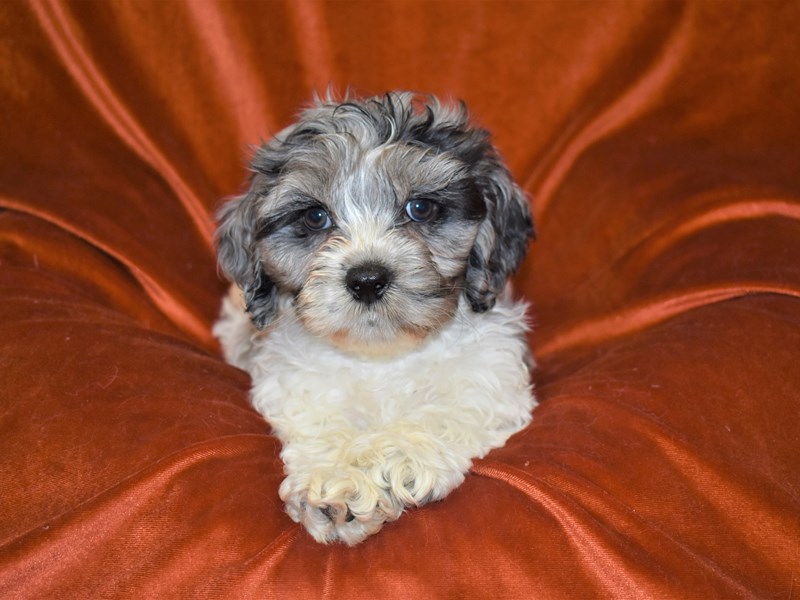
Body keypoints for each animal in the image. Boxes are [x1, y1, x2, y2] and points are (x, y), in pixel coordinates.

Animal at [212, 91, 536, 548]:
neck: (381, 355)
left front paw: (390, 460)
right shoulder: (297, 382)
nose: (367, 279)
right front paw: (337, 482)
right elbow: (321, 421)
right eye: (315, 217)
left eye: (420, 208)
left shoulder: (490, 377)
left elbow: (443, 411)